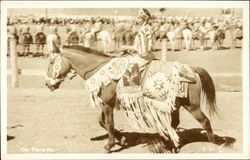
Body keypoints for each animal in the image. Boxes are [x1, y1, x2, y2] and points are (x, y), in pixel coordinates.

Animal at [45, 44, 219, 152]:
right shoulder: (106, 103)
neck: (102, 70)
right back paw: (170, 145)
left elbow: (109, 123)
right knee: (175, 123)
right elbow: (101, 122)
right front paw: (120, 139)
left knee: (205, 121)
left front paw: (109, 145)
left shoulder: (107, 104)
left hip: (192, 106)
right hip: (175, 105)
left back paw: (212, 145)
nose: (47, 83)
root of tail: (192, 70)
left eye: (52, 62)